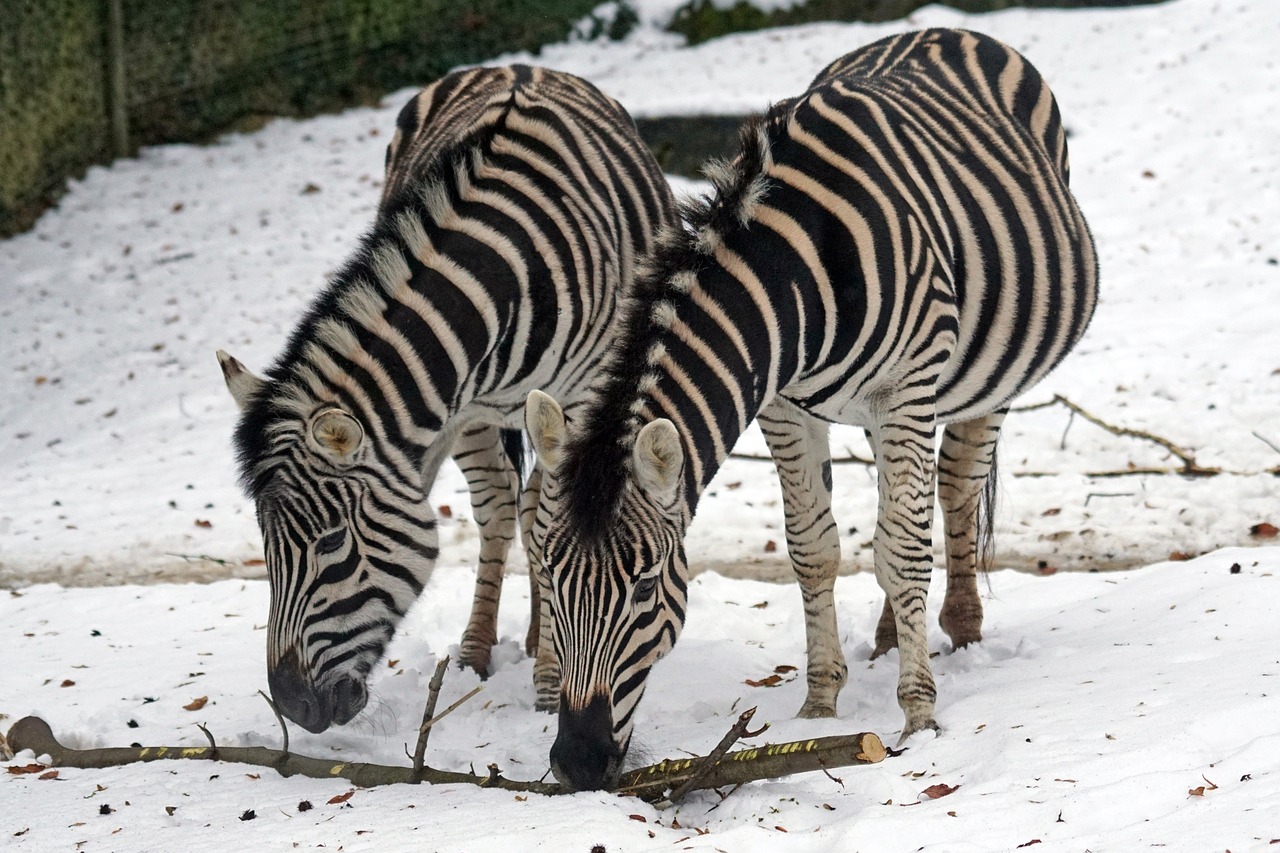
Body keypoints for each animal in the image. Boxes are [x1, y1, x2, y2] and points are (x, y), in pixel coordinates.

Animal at [217, 64, 680, 732]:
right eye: (264, 543)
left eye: (331, 544)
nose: (294, 708)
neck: (497, 276)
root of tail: (519, 65)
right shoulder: (456, 412)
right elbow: (497, 511)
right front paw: (480, 652)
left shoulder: (583, 394)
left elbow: (551, 526)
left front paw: (550, 683)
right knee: (512, 505)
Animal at [524, 28, 1095, 788]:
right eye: (550, 577)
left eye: (645, 587)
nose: (577, 761)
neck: (796, 267)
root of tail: (939, 29)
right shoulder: (785, 405)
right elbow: (813, 548)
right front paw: (820, 703)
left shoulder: (905, 386)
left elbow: (902, 550)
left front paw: (919, 714)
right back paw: (889, 634)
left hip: (988, 376)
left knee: (954, 486)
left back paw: (958, 624)